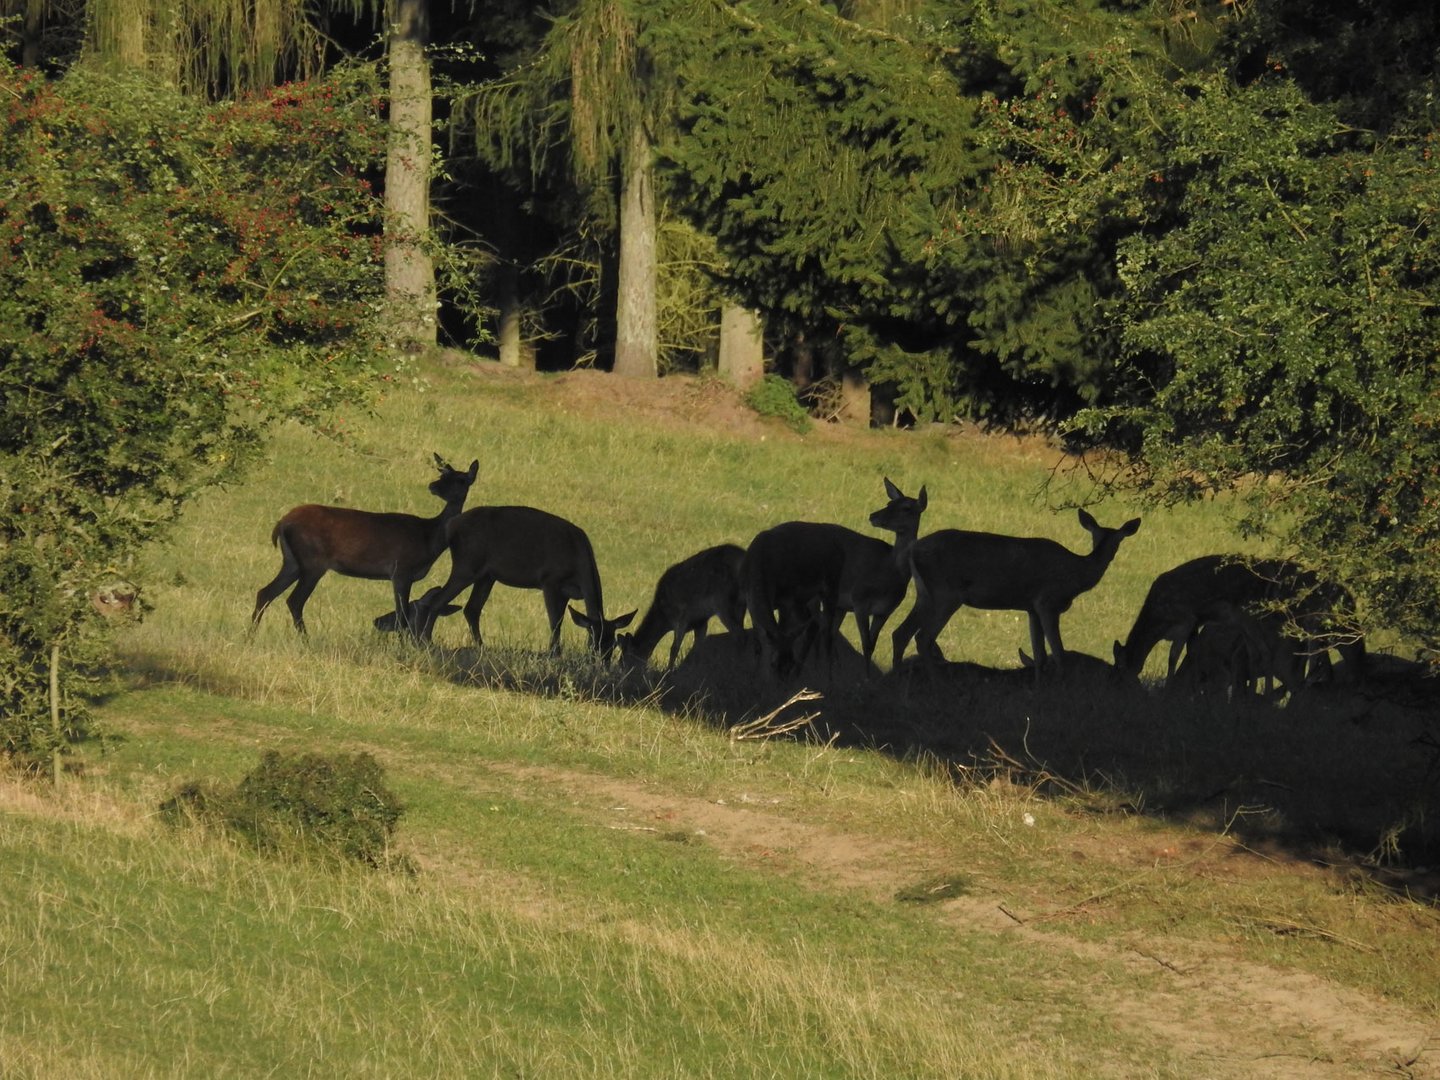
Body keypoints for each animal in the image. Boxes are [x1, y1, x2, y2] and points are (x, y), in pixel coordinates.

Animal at [252, 455, 478, 639]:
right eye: (443, 476)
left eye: (461, 479)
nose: (433, 486)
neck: (429, 538)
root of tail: (282, 523)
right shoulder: (401, 571)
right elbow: (402, 616)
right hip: (312, 561)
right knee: (295, 600)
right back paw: (305, 640)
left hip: (292, 561)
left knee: (265, 592)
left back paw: (251, 635)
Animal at [414, 509, 633, 659]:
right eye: (593, 642)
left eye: (613, 644)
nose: (602, 663)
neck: (578, 560)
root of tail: (451, 526)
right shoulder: (549, 579)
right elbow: (555, 621)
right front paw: (554, 654)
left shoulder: (565, 592)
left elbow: (560, 620)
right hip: (467, 564)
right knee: (438, 600)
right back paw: (427, 641)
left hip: (487, 575)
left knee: (471, 609)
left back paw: (480, 647)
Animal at [616, 544, 748, 673]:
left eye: (623, 661)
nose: (623, 673)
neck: (664, 618)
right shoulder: (700, 622)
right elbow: (697, 647)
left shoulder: (680, 617)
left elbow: (674, 648)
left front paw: (669, 670)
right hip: (741, 602)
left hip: (723, 600)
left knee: (738, 634)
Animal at [887, 509, 1146, 676]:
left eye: (1115, 539)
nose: (1111, 555)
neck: (1076, 576)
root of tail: (912, 550)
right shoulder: (1048, 602)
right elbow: (1059, 653)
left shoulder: (1031, 608)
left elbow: (1040, 655)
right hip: (946, 593)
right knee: (923, 637)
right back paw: (935, 681)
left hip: (924, 593)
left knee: (901, 633)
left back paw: (897, 677)